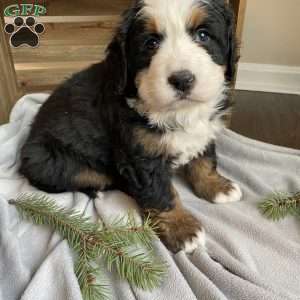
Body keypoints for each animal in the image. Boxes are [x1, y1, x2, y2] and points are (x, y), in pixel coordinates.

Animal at [19, 0, 241, 253]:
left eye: (203, 35)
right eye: (151, 43)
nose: (182, 79)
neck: (178, 112)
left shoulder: (205, 131)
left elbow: (204, 160)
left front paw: (217, 186)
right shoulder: (141, 155)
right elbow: (161, 192)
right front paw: (182, 228)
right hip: (53, 161)